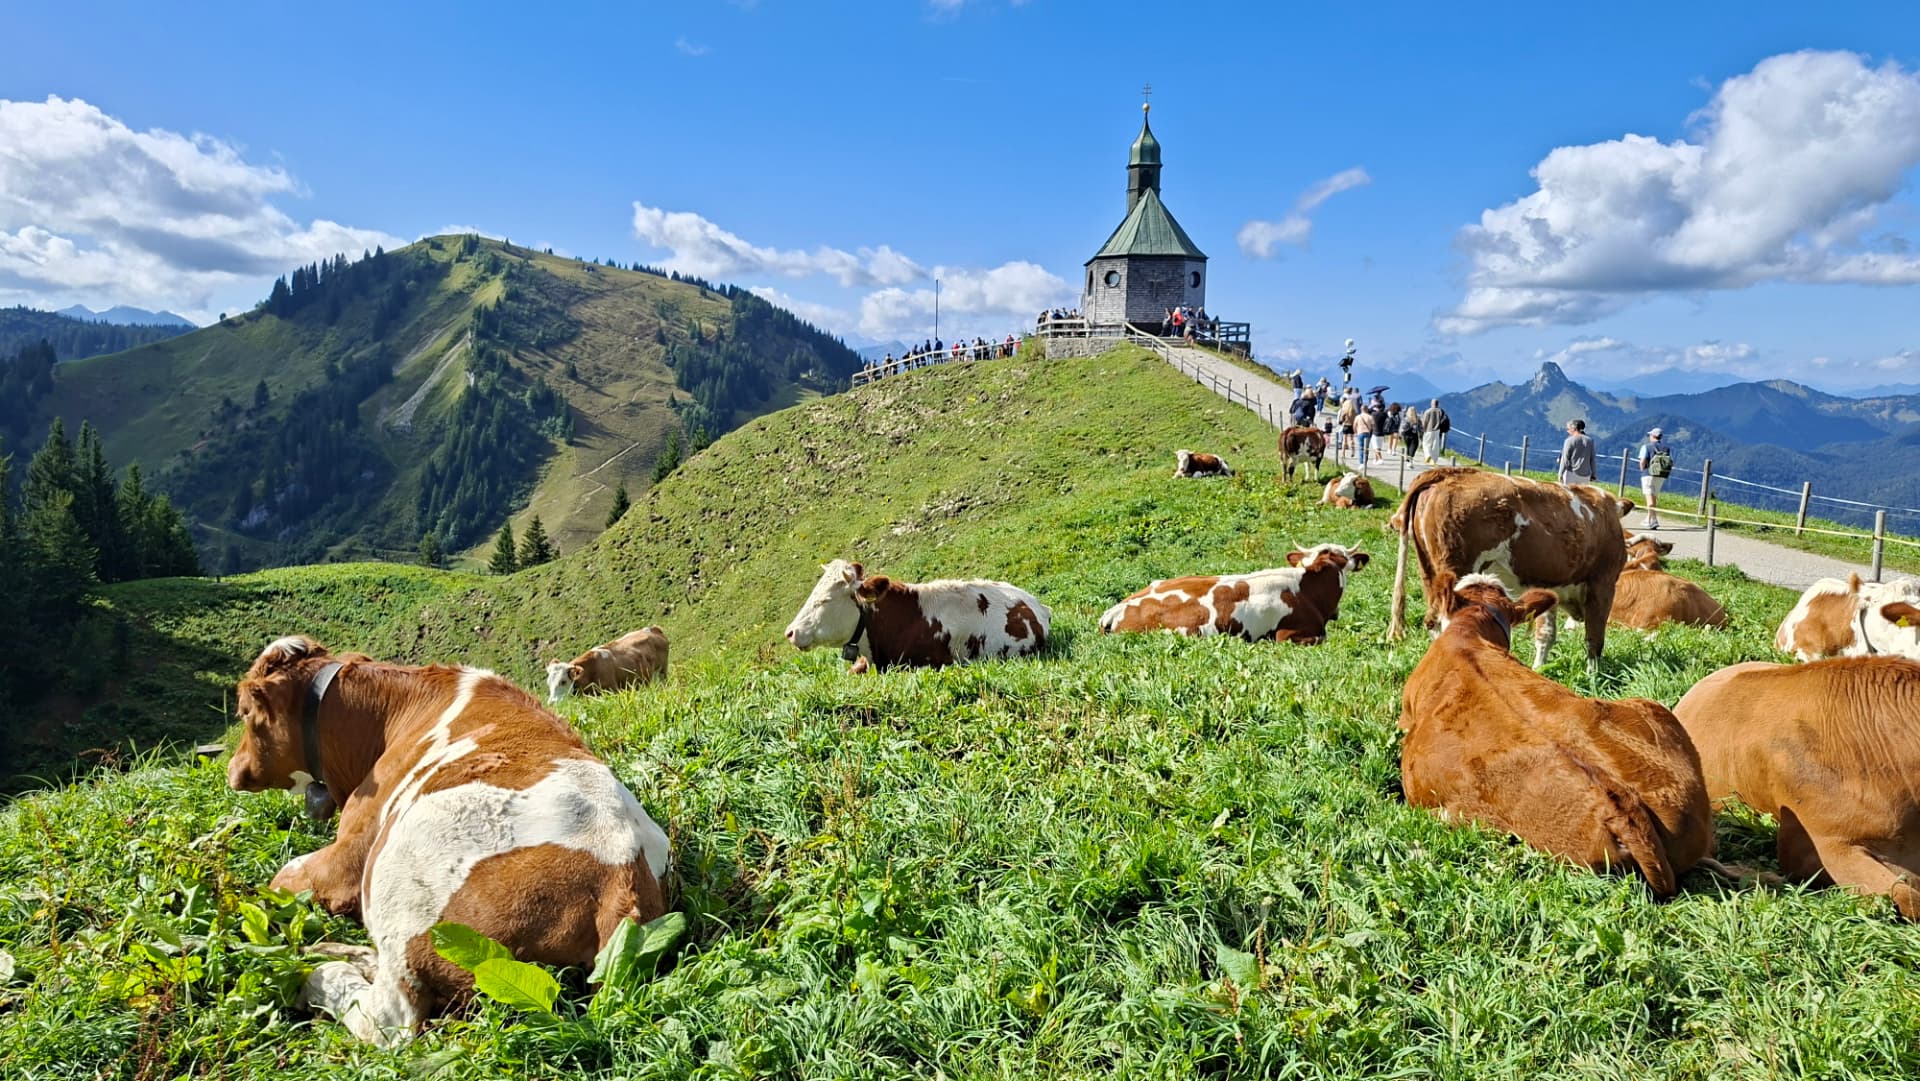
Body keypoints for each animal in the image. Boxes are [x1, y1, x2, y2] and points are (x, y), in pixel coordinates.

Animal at [226, 636, 670, 1045]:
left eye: (245, 714)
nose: (232, 769)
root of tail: (620, 870)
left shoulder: (347, 859)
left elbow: (280, 879)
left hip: (401, 887)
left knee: (389, 1021)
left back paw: (319, 972)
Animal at [1387, 467, 1634, 671]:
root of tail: (1449, 472)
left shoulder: (1549, 584)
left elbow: (1546, 633)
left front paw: (1539, 669)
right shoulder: (1603, 583)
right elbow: (1595, 637)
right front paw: (1594, 678)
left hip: (1429, 570)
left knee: (1432, 620)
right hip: (1457, 568)